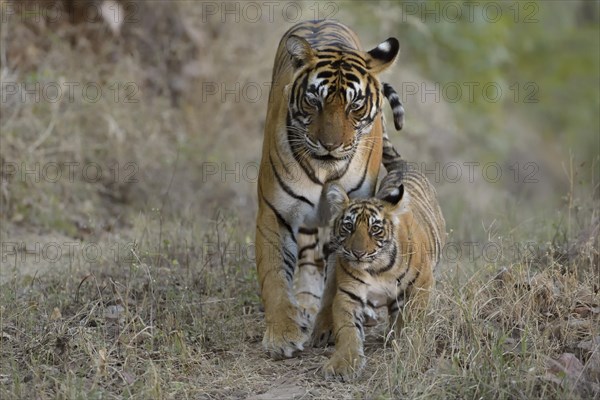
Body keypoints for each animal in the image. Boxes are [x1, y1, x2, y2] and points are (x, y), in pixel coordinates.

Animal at [256, 18, 404, 358]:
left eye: (355, 105)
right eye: (315, 100)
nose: (330, 146)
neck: (324, 169)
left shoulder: (353, 219)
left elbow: (339, 280)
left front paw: (328, 329)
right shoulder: (275, 211)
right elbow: (274, 275)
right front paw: (282, 335)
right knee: (309, 258)